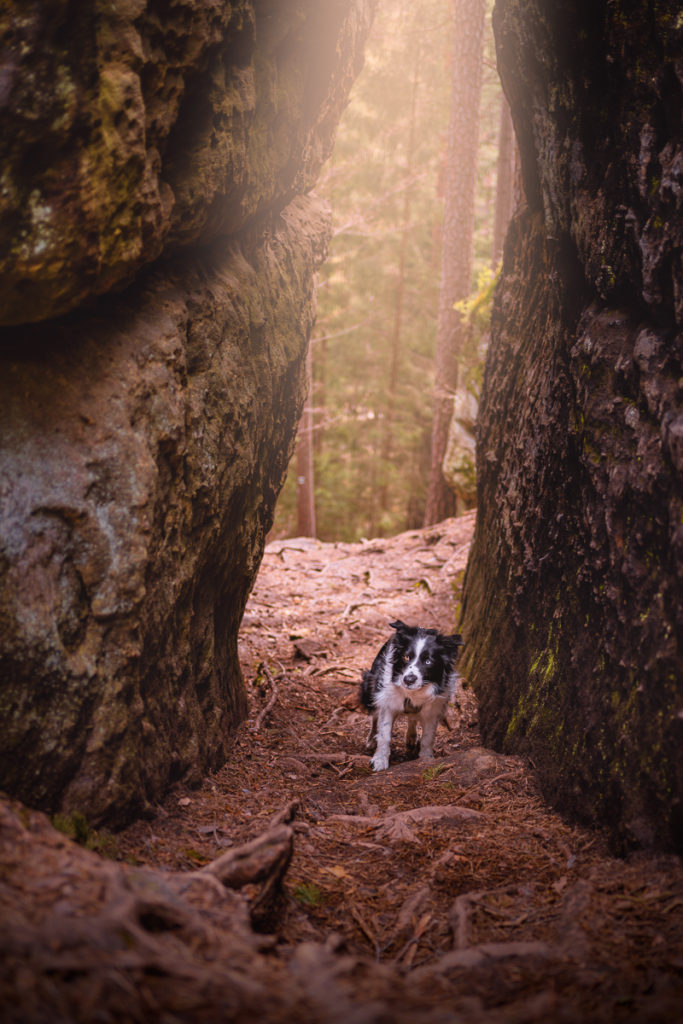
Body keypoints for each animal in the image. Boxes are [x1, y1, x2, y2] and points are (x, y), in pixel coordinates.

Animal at [358, 618, 464, 770]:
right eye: (406, 657)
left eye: (428, 661)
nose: (408, 680)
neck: (413, 692)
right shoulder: (388, 701)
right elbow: (384, 734)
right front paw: (379, 760)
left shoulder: (434, 708)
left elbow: (428, 737)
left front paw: (426, 758)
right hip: (371, 686)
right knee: (375, 715)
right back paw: (372, 739)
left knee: (412, 718)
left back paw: (411, 737)